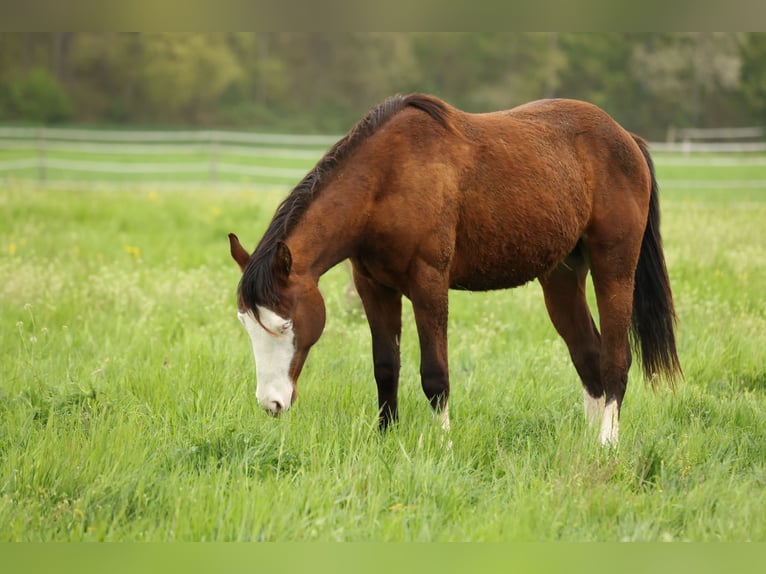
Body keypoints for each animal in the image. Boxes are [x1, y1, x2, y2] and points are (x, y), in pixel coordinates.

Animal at [228, 93, 682, 446]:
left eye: (285, 325)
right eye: (247, 325)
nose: (271, 403)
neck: (387, 180)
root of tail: (626, 138)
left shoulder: (429, 283)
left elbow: (434, 375)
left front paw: (443, 445)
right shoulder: (374, 287)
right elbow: (385, 368)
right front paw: (386, 438)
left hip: (615, 269)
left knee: (615, 359)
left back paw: (607, 442)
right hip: (561, 277)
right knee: (587, 355)